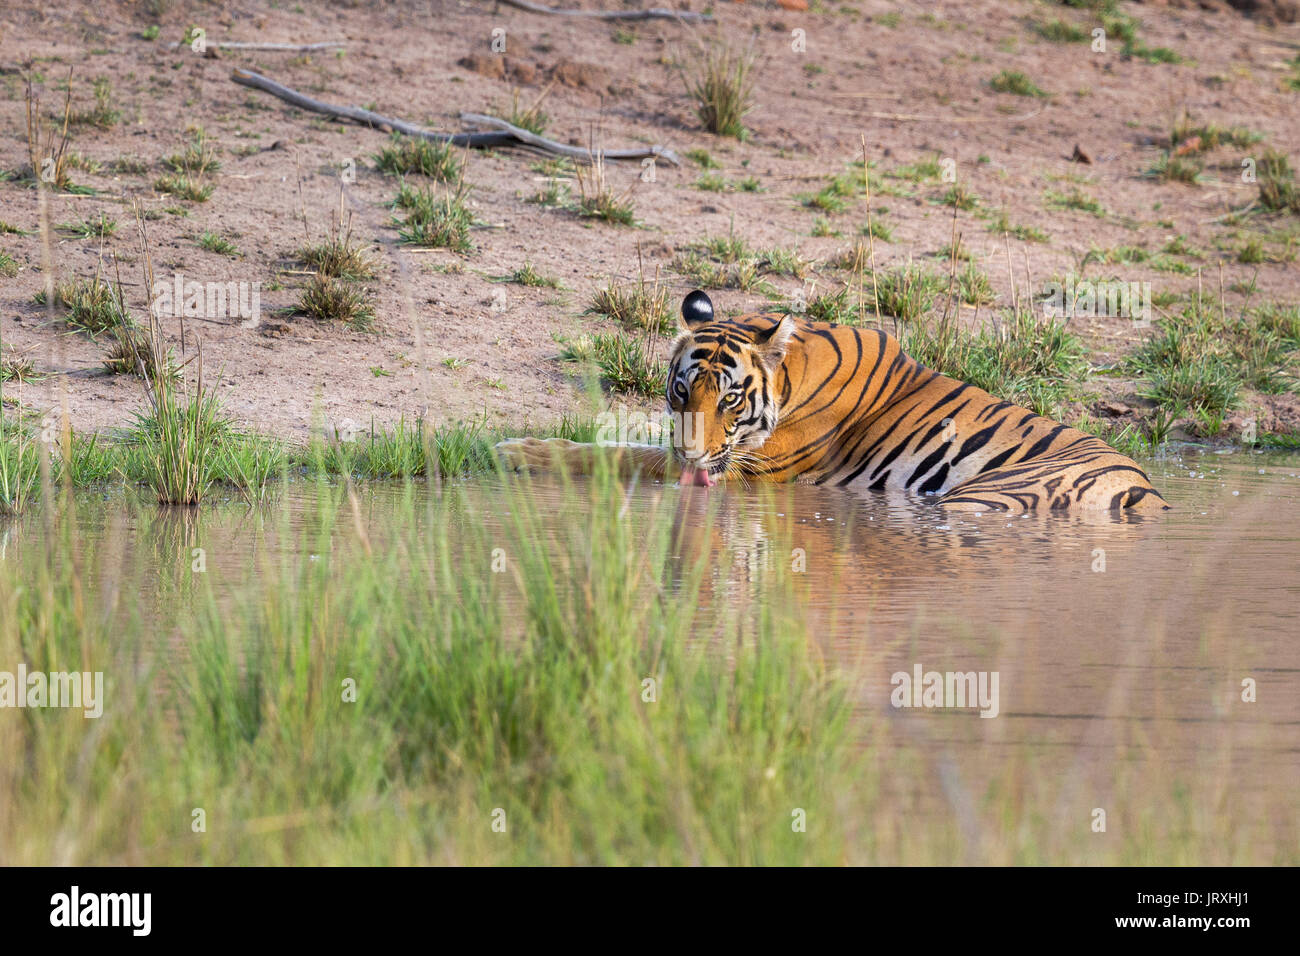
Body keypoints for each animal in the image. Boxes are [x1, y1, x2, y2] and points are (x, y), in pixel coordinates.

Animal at [496, 290, 1170, 515]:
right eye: (682, 391)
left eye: (732, 400)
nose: (692, 457)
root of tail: (1149, 490)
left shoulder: (746, 469)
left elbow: (619, 454)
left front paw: (517, 450)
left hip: (990, 498)